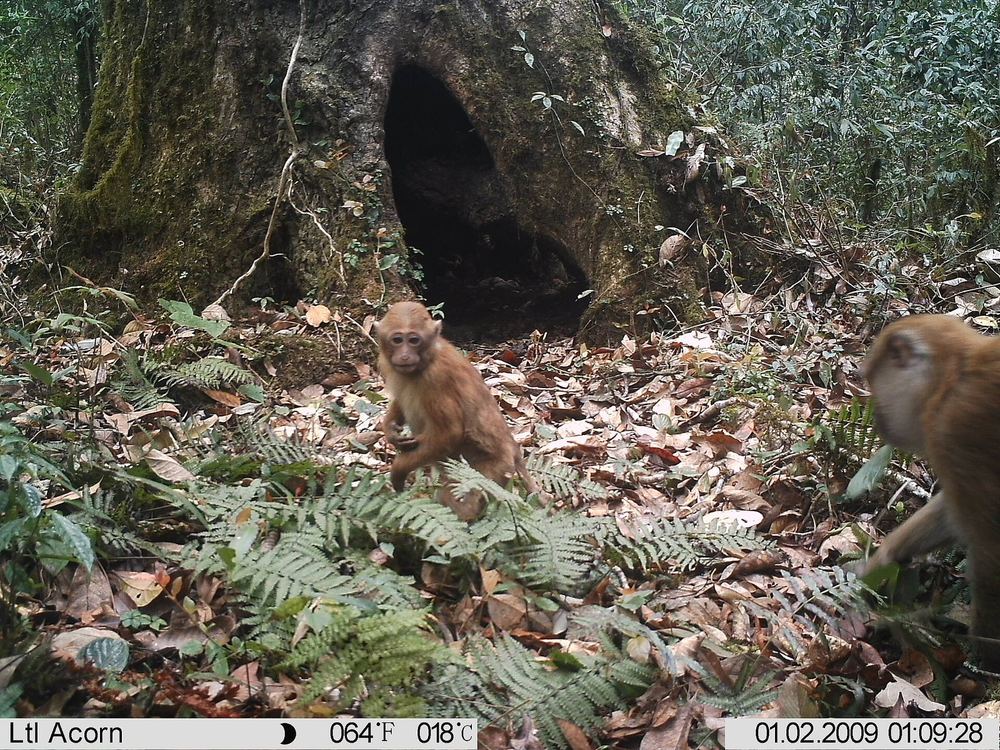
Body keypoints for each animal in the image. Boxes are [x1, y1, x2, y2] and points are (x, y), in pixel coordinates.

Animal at [374, 301, 537, 520]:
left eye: (414, 340)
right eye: (397, 340)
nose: (405, 355)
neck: (427, 359)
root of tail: (513, 448)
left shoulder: (436, 379)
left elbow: (450, 433)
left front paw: (399, 469)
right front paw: (390, 430)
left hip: (490, 471)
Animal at [862, 313, 1000, 670]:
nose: (878, 417)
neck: (953, 376)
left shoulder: (952, 430)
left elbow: (989, 548)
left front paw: (984, 659)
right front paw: (882, 560)